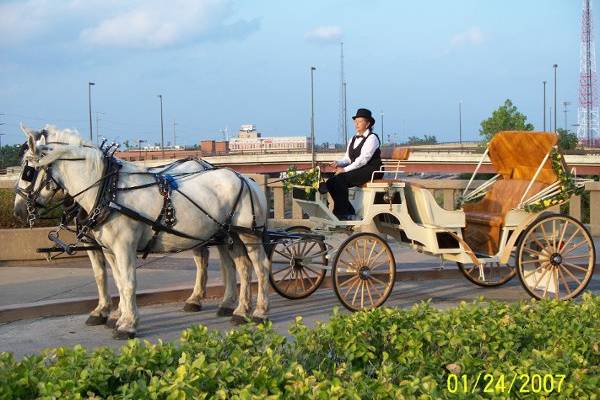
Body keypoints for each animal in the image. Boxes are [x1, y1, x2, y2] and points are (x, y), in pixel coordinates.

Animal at [14, 125, 272, 338]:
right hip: (230, 233)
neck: (107, 190)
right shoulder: (107, 248)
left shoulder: (124, 246)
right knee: (240, 267)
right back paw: (238, 310)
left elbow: (128, 282)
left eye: (28, 170)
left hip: (248, 233)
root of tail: (244, 177)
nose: (18, 210)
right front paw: (114, 315)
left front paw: (127, 325)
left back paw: (258, 311)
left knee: (260, 267)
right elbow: (112, 279)